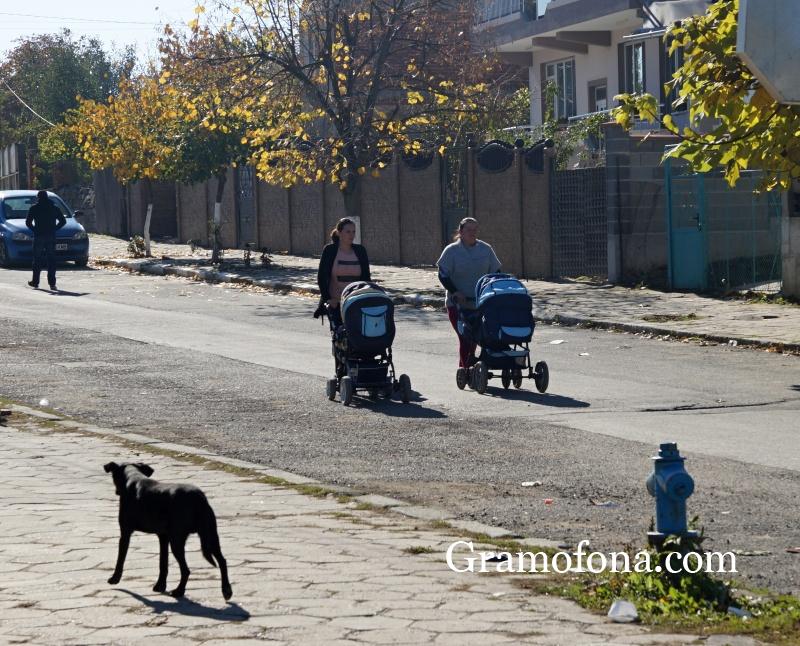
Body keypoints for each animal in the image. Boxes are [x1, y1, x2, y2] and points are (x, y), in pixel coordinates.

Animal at [103, 464, 231, 600]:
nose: (116, 492)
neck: (133, 476)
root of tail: (198, 498)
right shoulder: (163, 537)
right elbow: (163, 563)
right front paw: (160, 585)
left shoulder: (125, 533)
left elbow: (120, 559)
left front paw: (115, 578)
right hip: (211, 537)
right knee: (222, 561)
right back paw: (226, 590)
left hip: (177, 541)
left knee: (186, 570)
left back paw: (179, 591)